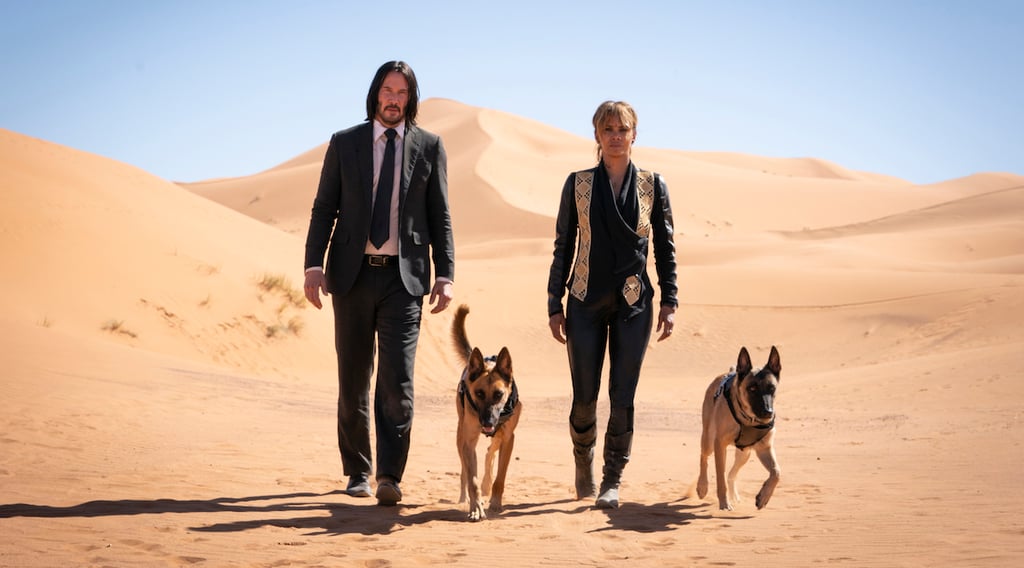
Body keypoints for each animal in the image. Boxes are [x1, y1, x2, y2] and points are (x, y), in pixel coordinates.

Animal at [452, 304, 524, 521]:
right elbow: (472, 480)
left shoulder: (509, 438)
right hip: (461, 436)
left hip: (499, 435)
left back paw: (487, 483)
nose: (487, 422)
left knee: (489, 452)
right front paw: (476, 507)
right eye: (479, 393)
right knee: (465, 471)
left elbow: (500, 477)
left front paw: (496, 502)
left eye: (499, 394)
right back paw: (464, 497)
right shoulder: (469, 441)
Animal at [696, 345, 782, 511]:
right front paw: (724, 504)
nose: (768, 413)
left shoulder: (764, 448)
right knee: (704, 457)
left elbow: (776, 472)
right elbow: (720, 478)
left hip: (745, 453)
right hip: (709, 440)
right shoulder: (719, 445)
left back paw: (734, 495)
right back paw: (702, 486)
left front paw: (763, 497)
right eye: (752, 388)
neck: (748, 420)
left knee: (731, 474)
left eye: (772, 388)